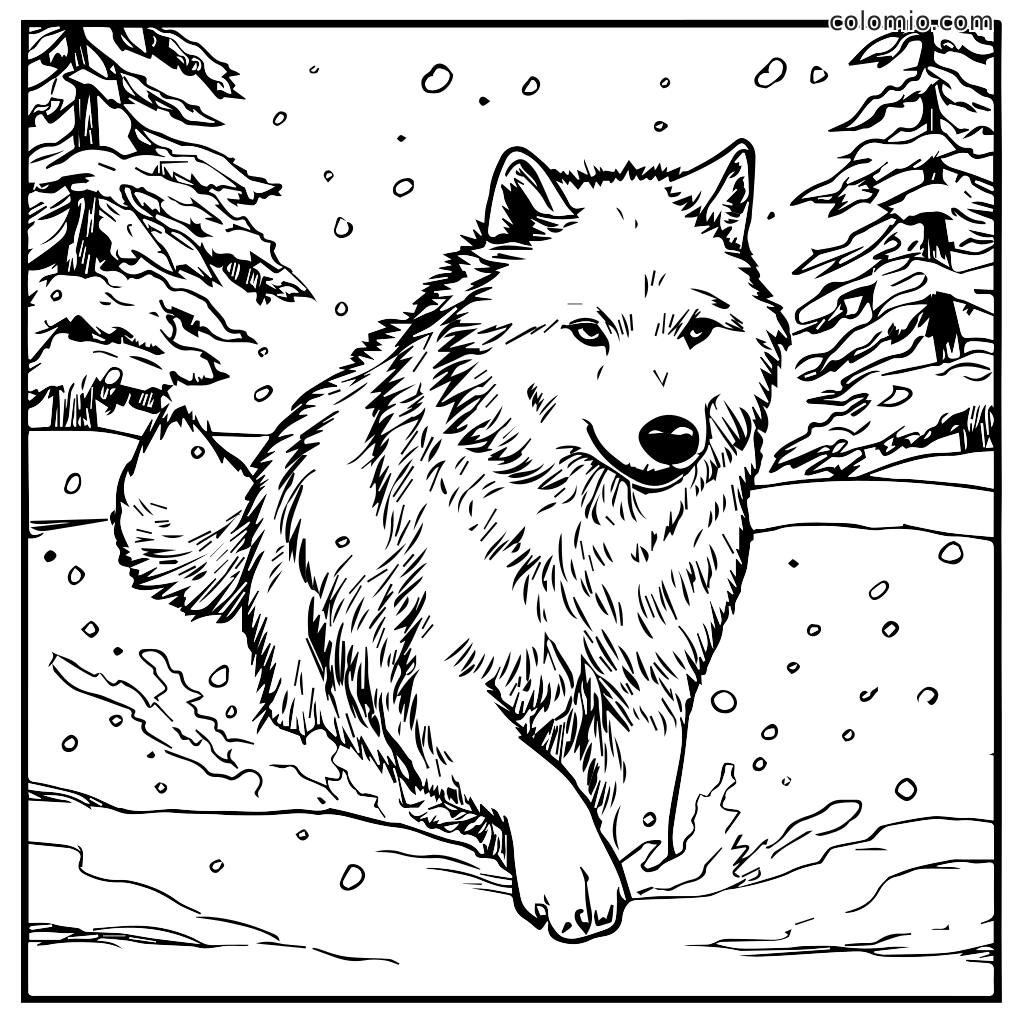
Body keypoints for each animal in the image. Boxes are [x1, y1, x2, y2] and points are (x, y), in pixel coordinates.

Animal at [116, 141, 790, 942]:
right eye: (588, 332)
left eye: (696, 330)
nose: (671, 435)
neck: (586, 535)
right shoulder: (442, 678)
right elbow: (538, 778)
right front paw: (578, 879)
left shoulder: (650, 684)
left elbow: (643, 802)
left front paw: (643, 867)